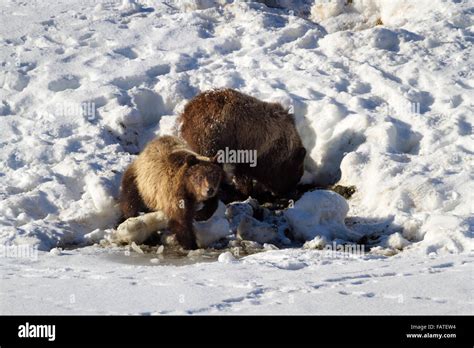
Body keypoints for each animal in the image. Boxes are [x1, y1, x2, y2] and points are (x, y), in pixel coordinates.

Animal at [179, 88, 308, 200]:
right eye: (296, 176)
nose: (287, 193)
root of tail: (187, 110)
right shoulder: (248, 150)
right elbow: (244, 174)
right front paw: (246, 191)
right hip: (208, 136)